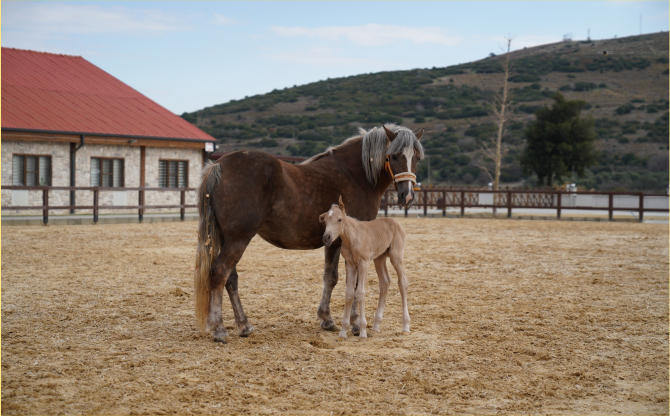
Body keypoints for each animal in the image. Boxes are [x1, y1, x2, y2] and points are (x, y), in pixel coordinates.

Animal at [320, 196, 410, 338]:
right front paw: (343, 332)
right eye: (325, 220)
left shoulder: (364, 263)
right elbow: (349, 294)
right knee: (384, 282)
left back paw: (405, 326)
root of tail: (396, 222)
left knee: (403, 282)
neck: (352, 236)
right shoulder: (350, 264)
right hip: (379, 258)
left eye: (339, 219)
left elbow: (360, 293)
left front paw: (362, 332)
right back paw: (376, 326)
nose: (327, 237)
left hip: (396, 256)